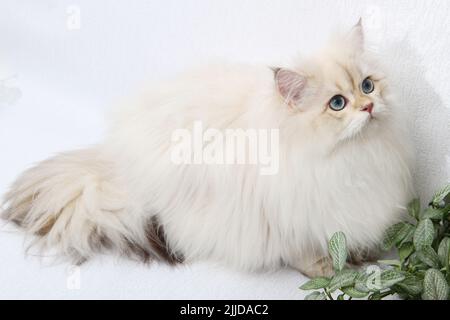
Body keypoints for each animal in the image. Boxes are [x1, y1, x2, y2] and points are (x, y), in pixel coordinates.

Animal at [0, 23, 414, 278]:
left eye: (367, 85)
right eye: (337, 104)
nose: (369, 107)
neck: (353, 160)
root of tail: (118, 166)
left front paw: (358, 256)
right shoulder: (290, 215)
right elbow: (305, 249)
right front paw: (327, 268)